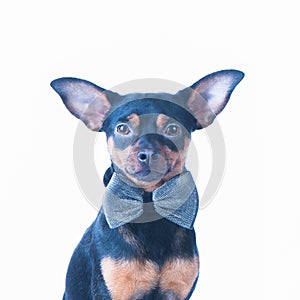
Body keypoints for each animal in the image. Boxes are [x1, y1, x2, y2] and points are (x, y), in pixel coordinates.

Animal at [51, 69, 244, 298]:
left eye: (173, 129)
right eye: (122, 129)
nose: (148, 154)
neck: (149, 202)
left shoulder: (177, 292)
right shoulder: (112, 292)